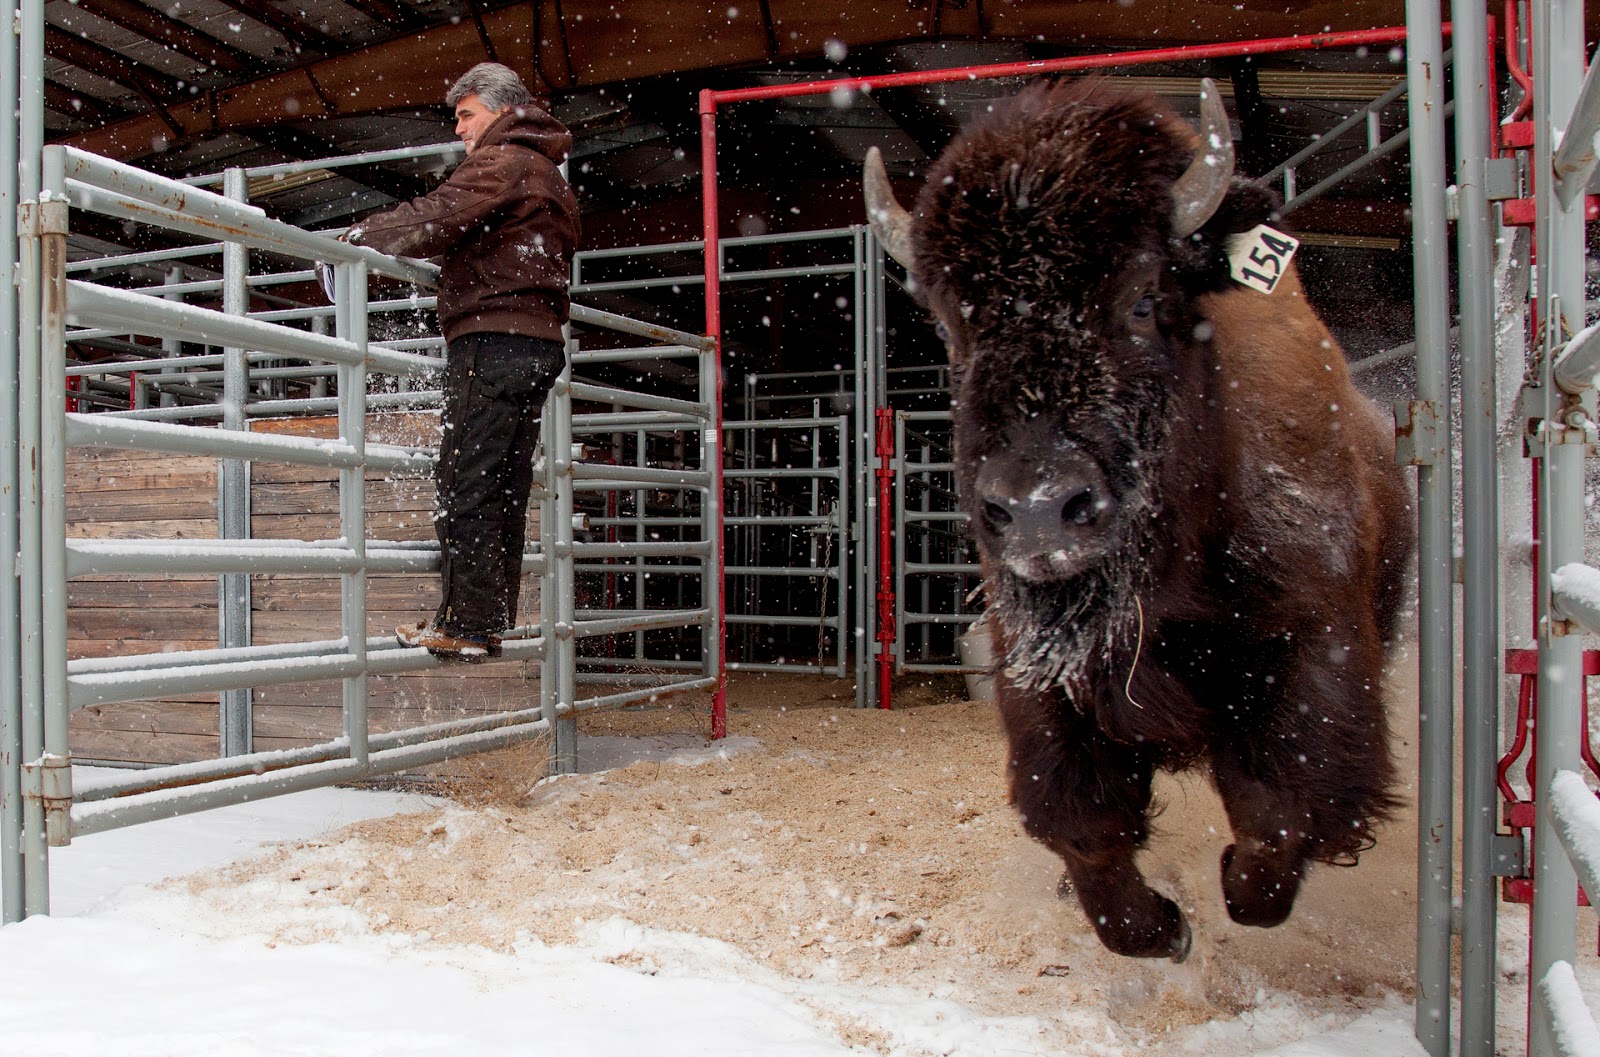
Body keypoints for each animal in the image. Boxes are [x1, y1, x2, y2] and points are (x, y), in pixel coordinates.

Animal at [865, 79, 1413, 961]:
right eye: (953, 325)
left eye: (1146, 296)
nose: (1039, 510)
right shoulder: (1044, 673)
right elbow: (1084, 823)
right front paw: (1162, 928)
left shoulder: (1314, 644)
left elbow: (1281, 813)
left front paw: (1224, 890)